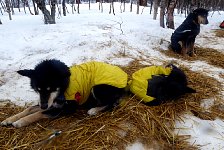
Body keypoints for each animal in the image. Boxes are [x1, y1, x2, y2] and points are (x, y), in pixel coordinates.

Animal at [0, 59, 128, 127]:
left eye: (50, 89)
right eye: (38, 89)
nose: (44, 105)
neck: (64, 86)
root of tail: (125, 79)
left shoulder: (66, 108)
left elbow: (38, 113)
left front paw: (20, 121)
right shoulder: (47, 102)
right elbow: (29, 109)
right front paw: (10, 119)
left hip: (97, 87)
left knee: (112, 103)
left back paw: (94, 110)